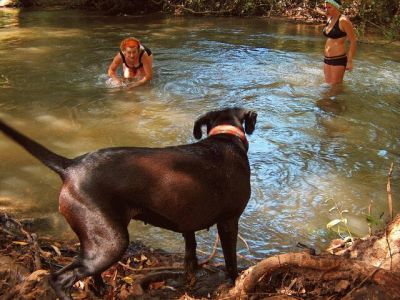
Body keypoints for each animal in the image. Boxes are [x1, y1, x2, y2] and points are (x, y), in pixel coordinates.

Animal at [0, 106, 256, 298]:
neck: (225, 138)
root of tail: (70, 166)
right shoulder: (229, 221)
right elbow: (231, 261)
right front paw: (235, 283)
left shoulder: (187, 225)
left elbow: (189, 259)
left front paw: (189, 282)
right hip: (113, 242)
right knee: (59, 279)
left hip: (96, 241)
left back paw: (101, 289)